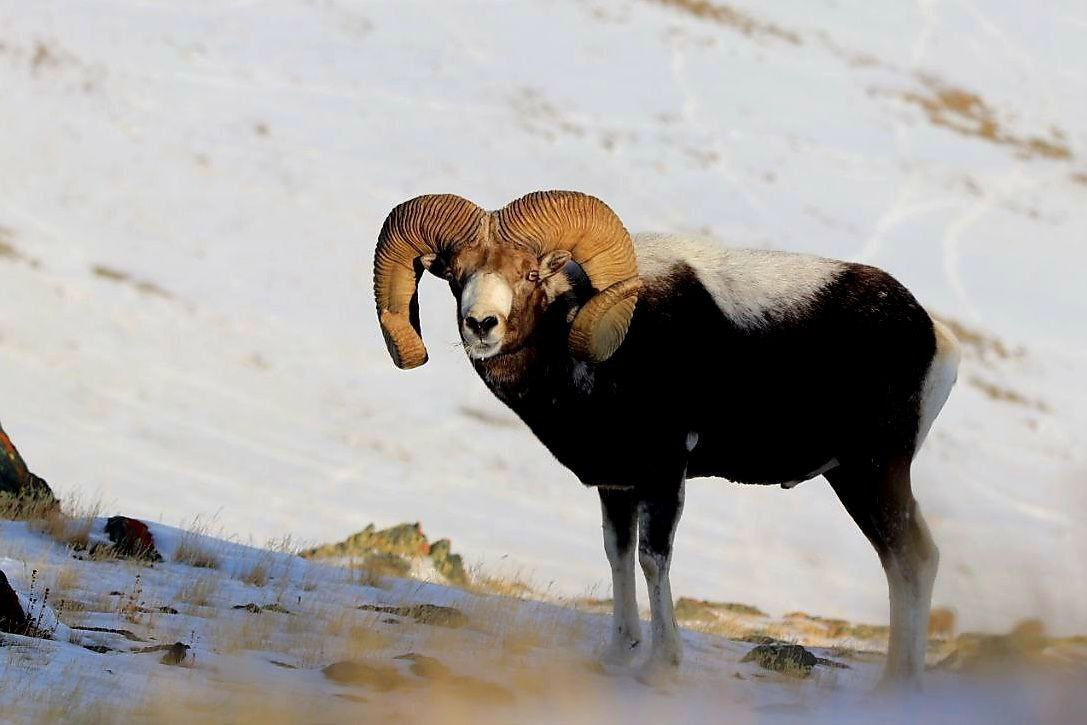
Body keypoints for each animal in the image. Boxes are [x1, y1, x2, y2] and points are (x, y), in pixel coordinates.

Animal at [373, 191, 960, 686]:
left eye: (530, 272)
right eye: (455, 274)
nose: (481, 325)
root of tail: (935, 338)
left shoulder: (662, 475)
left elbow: (653, 560)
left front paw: (660, 666)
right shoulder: (617, 486)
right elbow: (617, 555)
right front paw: (619, 654)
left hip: (873, 473)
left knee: (914, 560)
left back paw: (896, 687)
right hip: (854, 479)